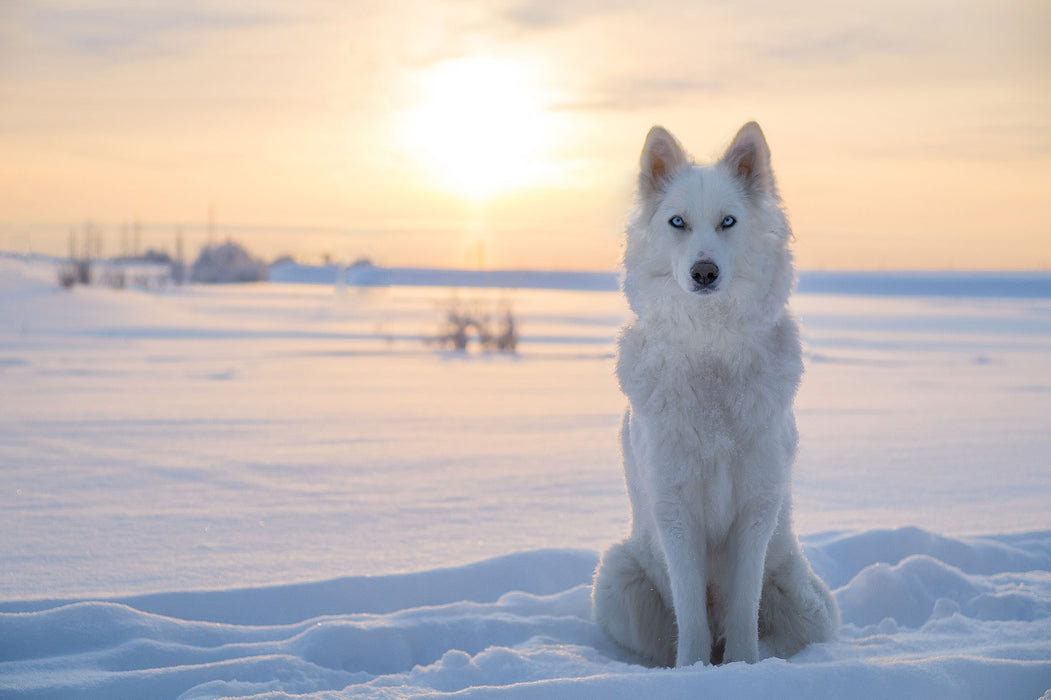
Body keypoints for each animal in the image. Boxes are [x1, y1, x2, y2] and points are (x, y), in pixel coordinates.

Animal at [592, 121, 836, 664]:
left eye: (728, 221)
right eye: (677, 222)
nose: (704, 272)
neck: (711, 353)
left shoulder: (757, 508)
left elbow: (745, 608)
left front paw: (743, 667)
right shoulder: (675, 510)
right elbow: (692, 616)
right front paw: (695, 669)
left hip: (807, 602)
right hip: (616, 579)